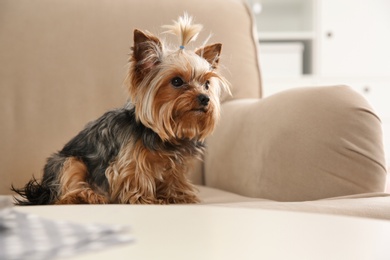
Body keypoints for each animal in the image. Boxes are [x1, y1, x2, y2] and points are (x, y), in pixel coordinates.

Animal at [12, 14, 230, 205]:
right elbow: (135, 175)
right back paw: (87, 195)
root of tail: (41, 190)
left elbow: (174, 177)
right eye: (176, 81)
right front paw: (144, 198)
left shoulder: (175, 164)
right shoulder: (129, 160)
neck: (161, 134)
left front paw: (179, 196)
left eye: (206, 84)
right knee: (65, 193)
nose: (204, 98)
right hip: (69, 162)